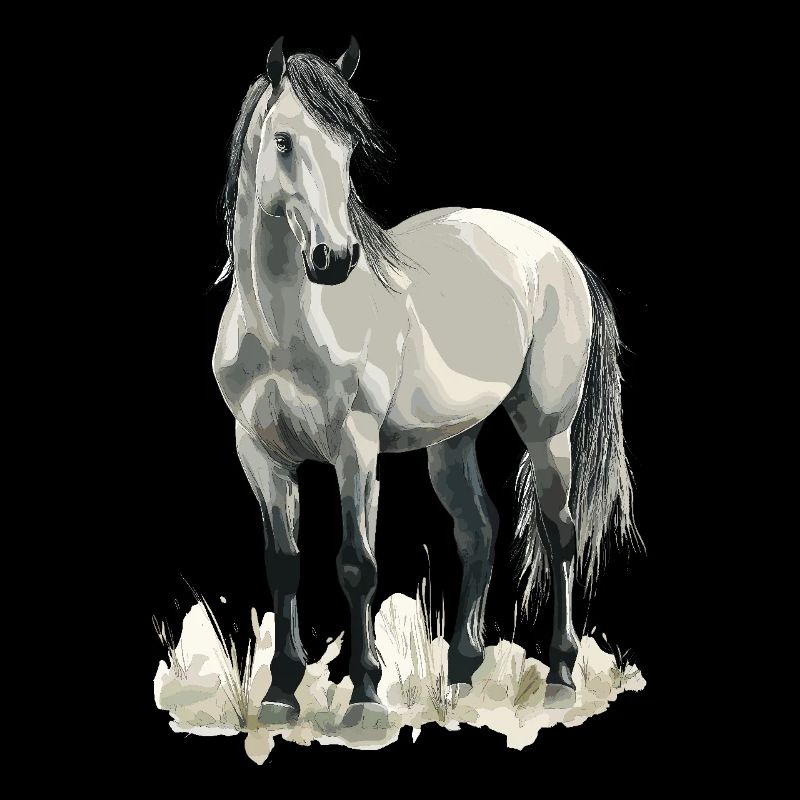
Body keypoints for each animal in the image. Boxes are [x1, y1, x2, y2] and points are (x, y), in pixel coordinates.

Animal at [212, 36, 640, 727]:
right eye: (283, 141)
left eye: (348, 149)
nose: (334, 259)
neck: (282, 327)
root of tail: (560, 254)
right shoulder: (260, 455)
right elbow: (284, 565)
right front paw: (281, 693)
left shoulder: (354, 450)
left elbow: (356, 564)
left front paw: (364, 695)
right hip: (451, 441)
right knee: (479, 530)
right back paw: (462, 673)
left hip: (548, 431)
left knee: (560, 531)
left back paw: (560, 675)